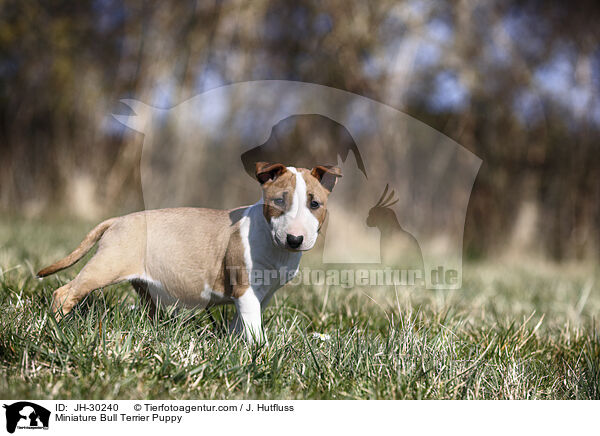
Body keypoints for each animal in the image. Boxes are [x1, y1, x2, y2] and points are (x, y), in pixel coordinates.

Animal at [37, 164, 342, 344]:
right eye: (278, 201)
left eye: (315, 204)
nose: (295, 239)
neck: (273, 244)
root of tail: (118, 220)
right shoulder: (245, 289)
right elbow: (253, 325)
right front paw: (260, 351)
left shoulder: (262, 294)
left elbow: (243, 322)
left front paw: (235, 345)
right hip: (105, 267)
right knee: (64, 292)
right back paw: (53, 326)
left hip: (144, 286)